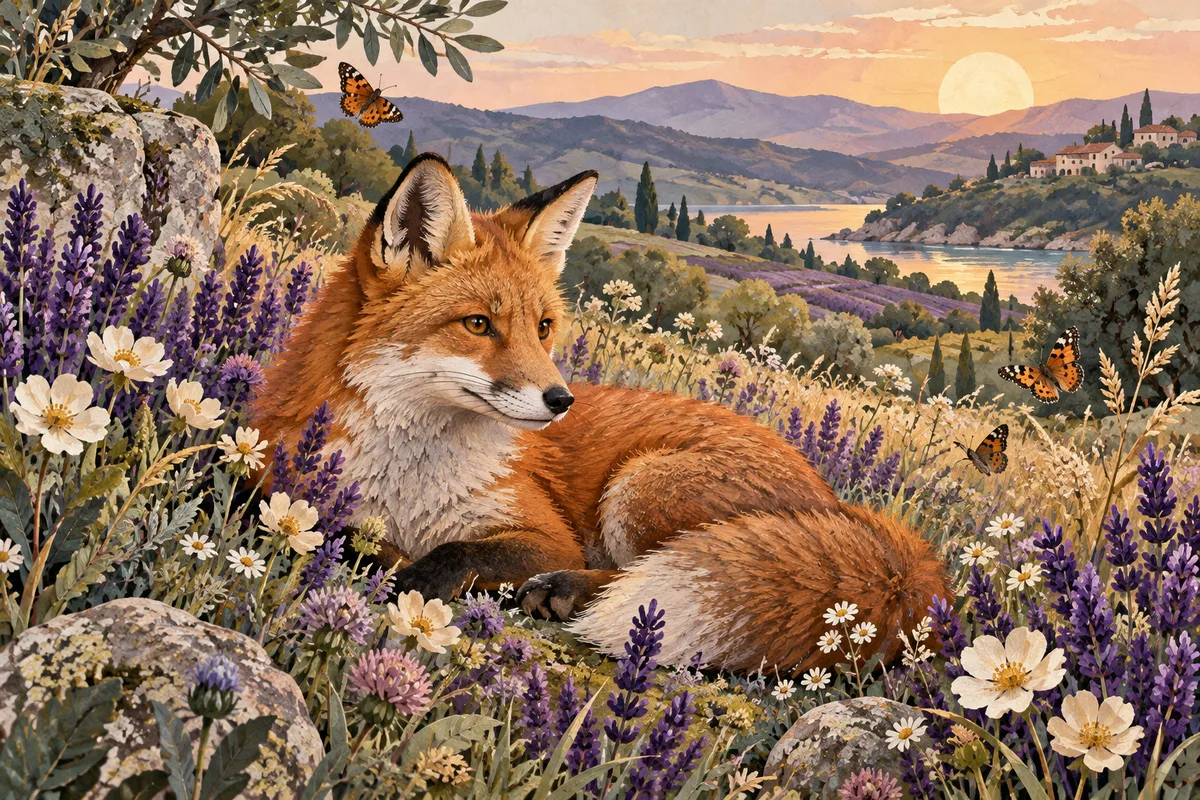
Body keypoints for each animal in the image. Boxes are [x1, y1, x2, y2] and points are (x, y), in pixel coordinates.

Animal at [252, 153, 949, 673]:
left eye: (543, 328)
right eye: (478, 325)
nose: (561, 400)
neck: (410, 482)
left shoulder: (540, 533)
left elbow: (454, 554)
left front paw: (405, 580)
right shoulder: (283, 483)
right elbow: (336, 529)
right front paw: (372, 557)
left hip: (640, 487)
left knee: (630, 577)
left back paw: (567, 592)